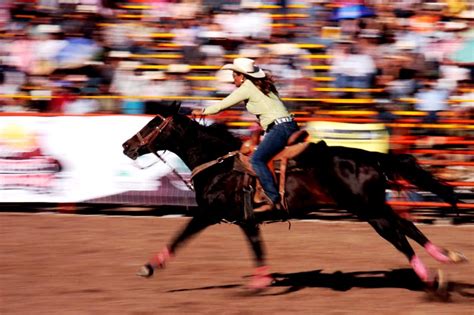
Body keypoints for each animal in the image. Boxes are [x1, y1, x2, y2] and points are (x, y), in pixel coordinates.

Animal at [122, 103, 466, 292]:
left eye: (154, 124)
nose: (127, 146)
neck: (219, 162)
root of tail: (371, 157)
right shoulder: (245, 221)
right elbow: (256, 248)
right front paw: (263, 280)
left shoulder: (212, 214)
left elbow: (181, 236)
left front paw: (148, 267)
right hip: (374, 206)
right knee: (407, 225)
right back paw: (446, 258)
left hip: (369, 210)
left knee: (399, 237)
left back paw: (430, 277)